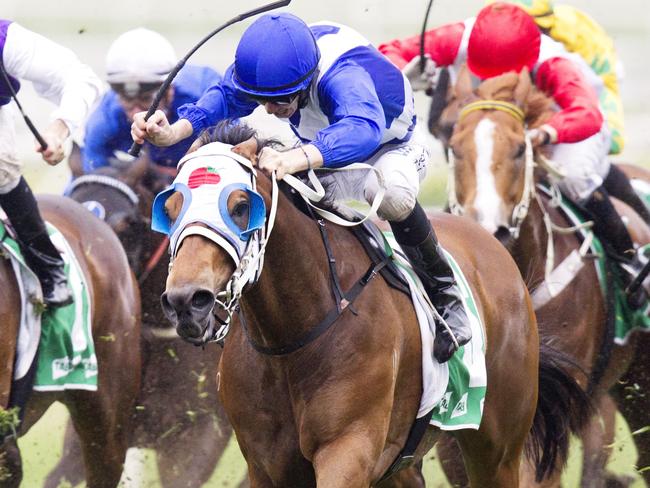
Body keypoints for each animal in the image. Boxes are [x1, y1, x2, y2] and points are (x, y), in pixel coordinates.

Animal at [156, 124, 588, 486]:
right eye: (171, 208)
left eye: (241, 205)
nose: (186, 301)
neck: (291, 339)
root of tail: (493, 244)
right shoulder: (267, 464)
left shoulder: (348, 449)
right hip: (403, 463)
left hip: (497, 446)